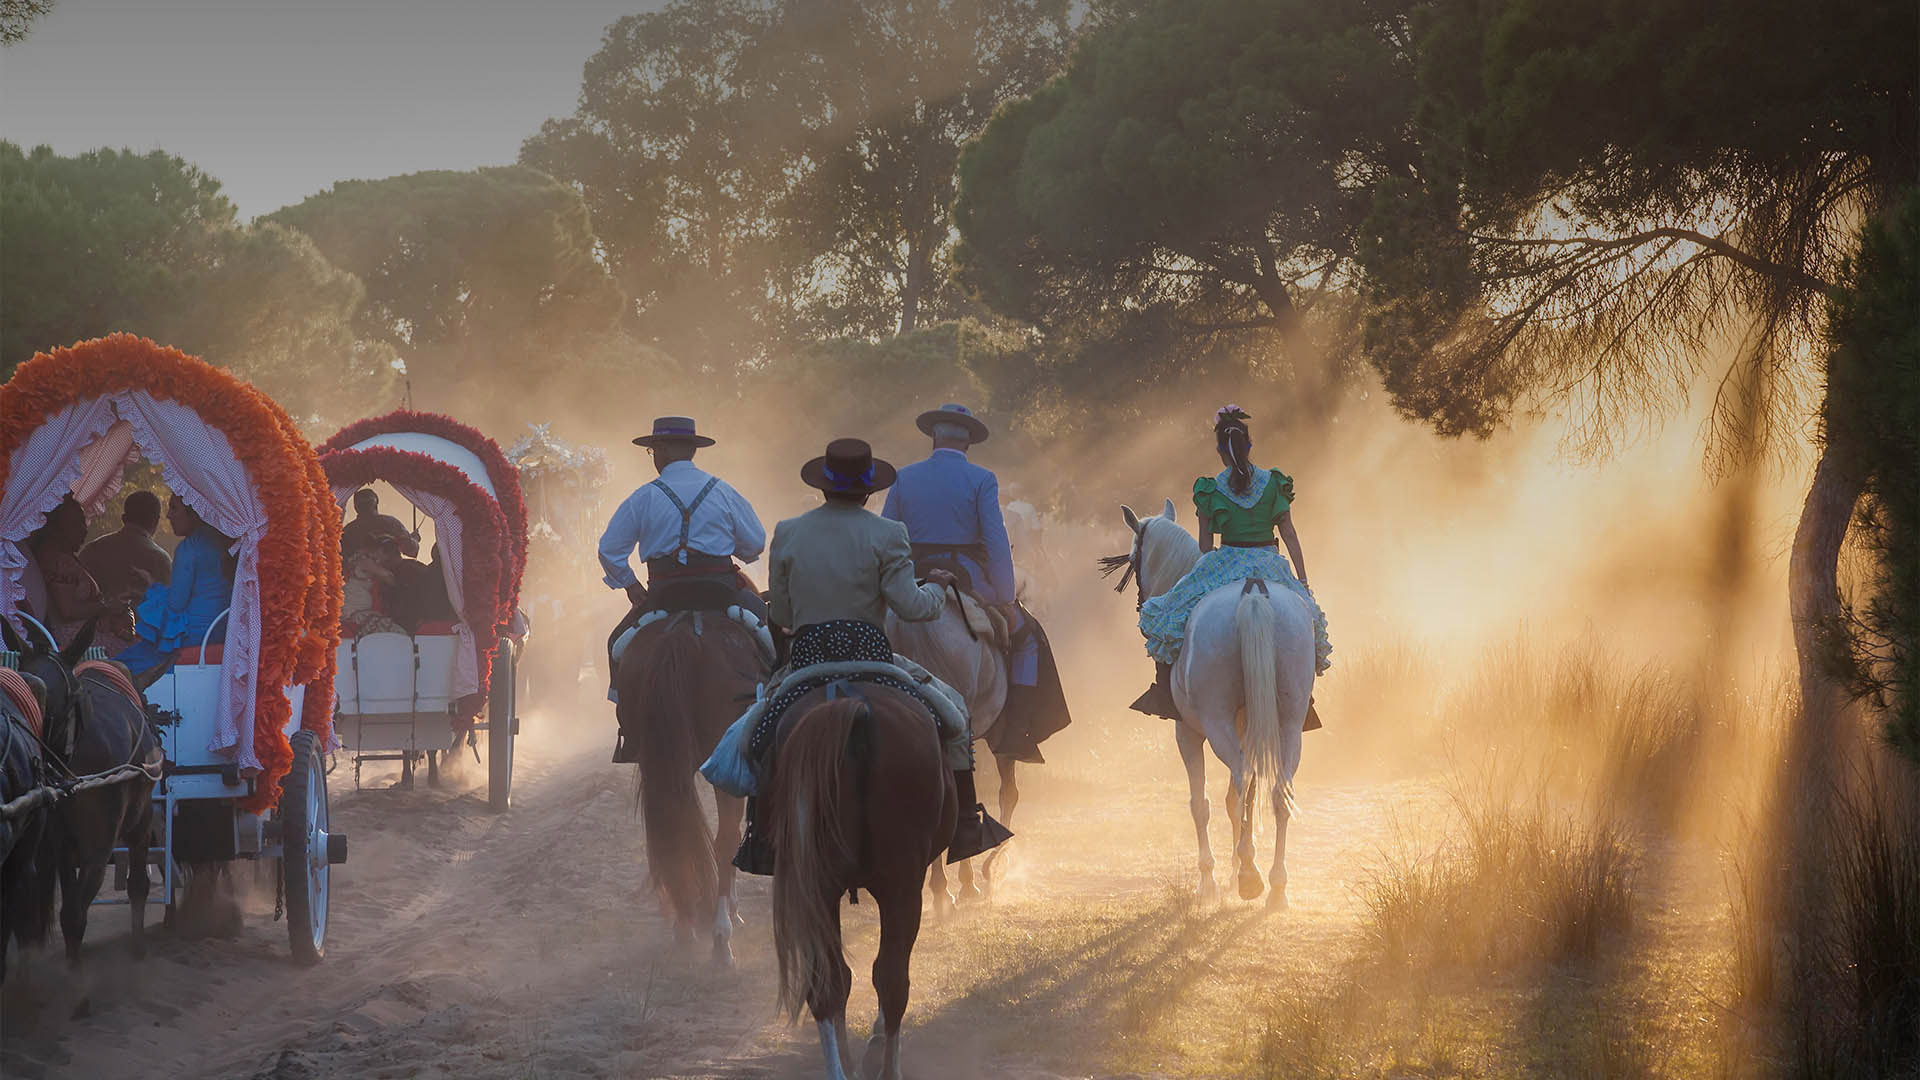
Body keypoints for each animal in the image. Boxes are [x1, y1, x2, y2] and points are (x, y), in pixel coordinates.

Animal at [614, 611, 764, 960]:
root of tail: (683, 631)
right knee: (725, 840)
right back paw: (721, 934)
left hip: (657, 762)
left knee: (672, 830)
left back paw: (685, 923)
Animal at [760, 687, 948, 1076]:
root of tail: (855, 704)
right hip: (902, 887)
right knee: (892, 980)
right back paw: (886, 1068)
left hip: (818, 888)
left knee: (829, 983)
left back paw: (841, 1068)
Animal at [1121, 499, 1313, 903]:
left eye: (1132, 558)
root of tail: (1253, 594)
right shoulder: (1247, 729)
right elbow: (1239, 799)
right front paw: (1234, 867)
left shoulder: (1187, 733)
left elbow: (1202, 804)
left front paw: (1210, 880)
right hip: (1288, 723)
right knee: (1276, 790)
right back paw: (1275, 885)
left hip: (1215, 722)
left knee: (1241, 778)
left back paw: (1251, 877)